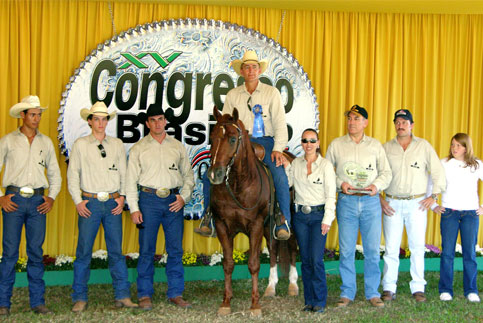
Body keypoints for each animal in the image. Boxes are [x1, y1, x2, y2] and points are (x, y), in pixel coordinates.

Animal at [208, 107, 298, 316]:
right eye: (212, 137)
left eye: (233, 139)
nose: (215, 174)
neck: (238, 185)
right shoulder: (222, 225)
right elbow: (228, 264)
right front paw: (226, 301)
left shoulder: (255, 225)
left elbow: (254, 264)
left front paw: (255, 305)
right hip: (268, 226)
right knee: (273, 249)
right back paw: (271, 287)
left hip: (290, 223)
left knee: (291, 246)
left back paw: (293, 285)